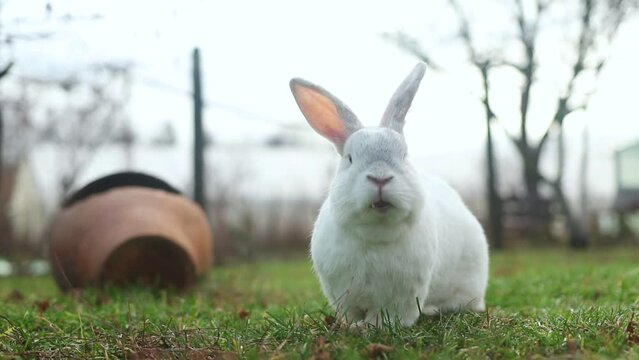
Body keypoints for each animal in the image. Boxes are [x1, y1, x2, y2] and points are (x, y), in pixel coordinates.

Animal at [290, 63, 490, 328]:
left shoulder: (402, 295)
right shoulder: (344, 294)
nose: (380, 178)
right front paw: (354, 326)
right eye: (350, 158)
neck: (376, 233)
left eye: (404, 155)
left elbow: (388, 315)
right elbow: (351, 312)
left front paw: (373, 327)